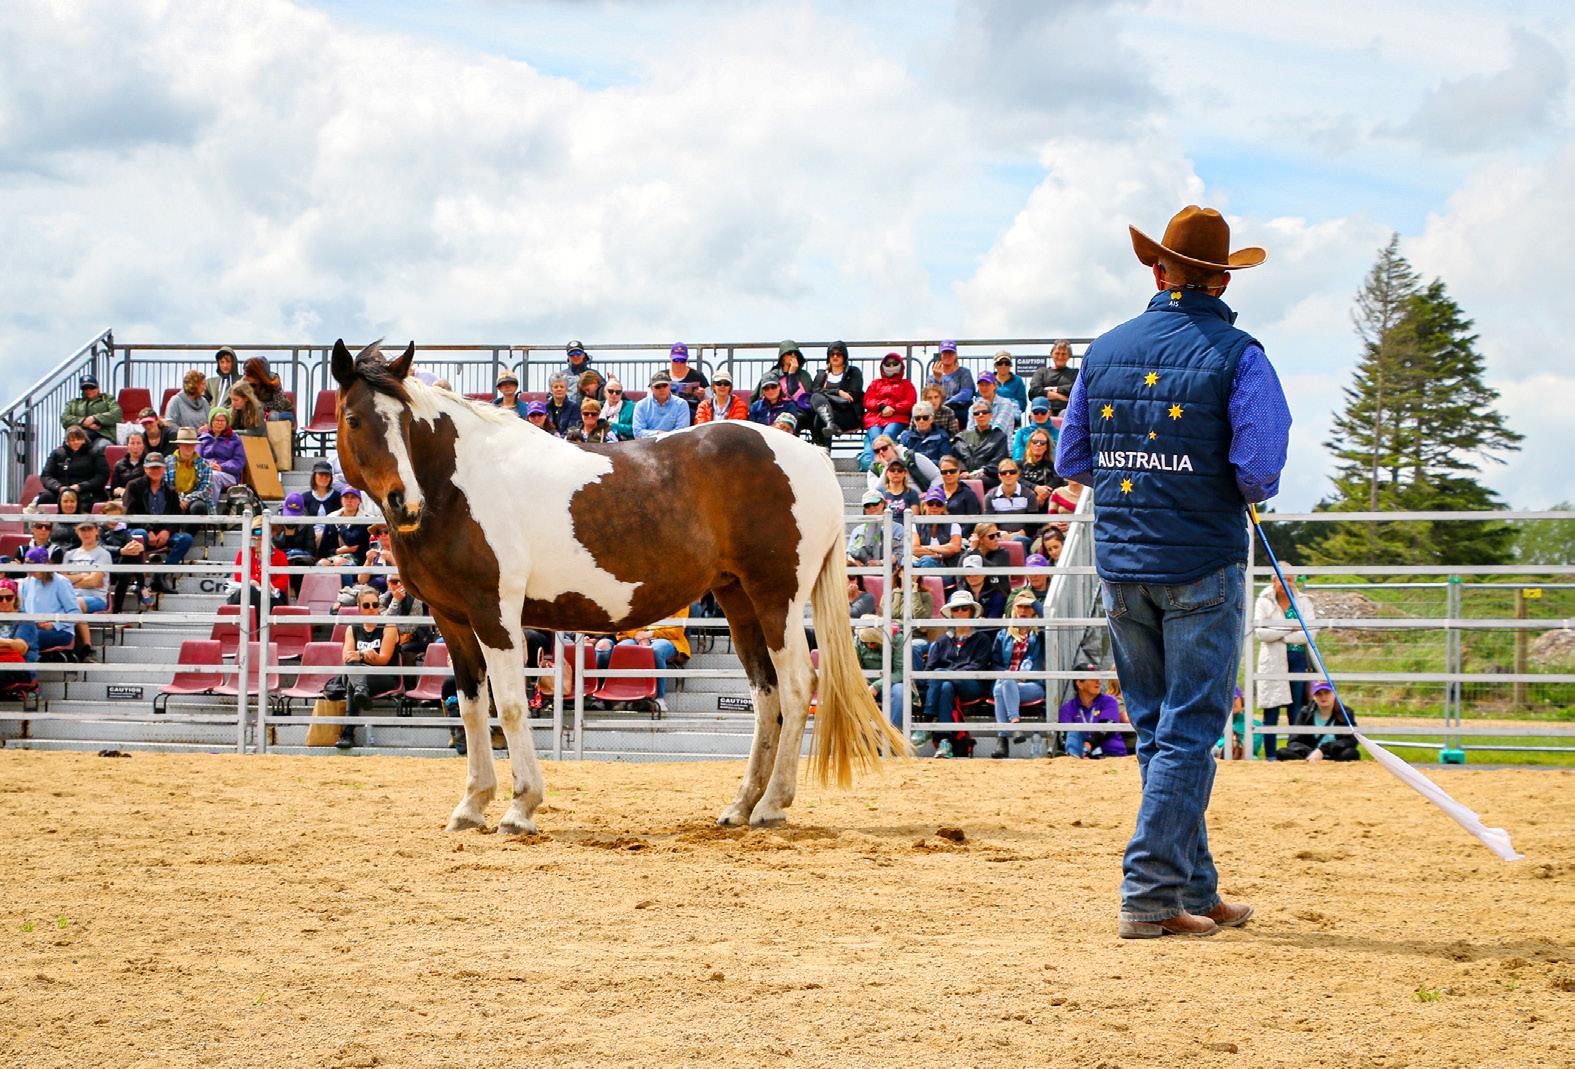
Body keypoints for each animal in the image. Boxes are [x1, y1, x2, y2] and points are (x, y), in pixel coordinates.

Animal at [331, 340, 906, 834]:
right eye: (355, 419)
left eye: (405, 422)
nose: (405, 503)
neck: (459, 485)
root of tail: (813, 460)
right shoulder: (451, 618)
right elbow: (473, 707)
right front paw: (471, 806)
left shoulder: (495, 613)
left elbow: (511, 705)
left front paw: (520, 808)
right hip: (739, 601)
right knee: (766, 696)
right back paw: (741, 805)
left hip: (776, 598)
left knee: (797, 687)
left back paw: (771, 806)